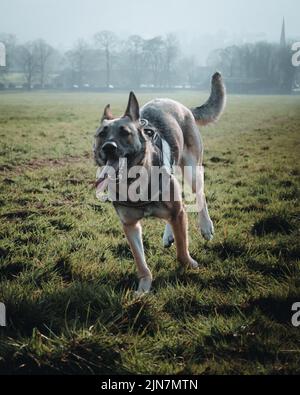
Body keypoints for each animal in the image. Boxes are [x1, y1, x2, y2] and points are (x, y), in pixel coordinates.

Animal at [94, 72, 225, 294]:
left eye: (125, 132)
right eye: (102, 134)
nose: (108, 147)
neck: (134, 183)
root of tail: (181, 105)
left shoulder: (177, 211)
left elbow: (182, 249)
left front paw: (189, 265)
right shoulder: (130, 226)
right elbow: (140, 262)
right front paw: (143, 287)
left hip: (192, 170)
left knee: (199, 197)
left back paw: (206, 226)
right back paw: (169, 234)